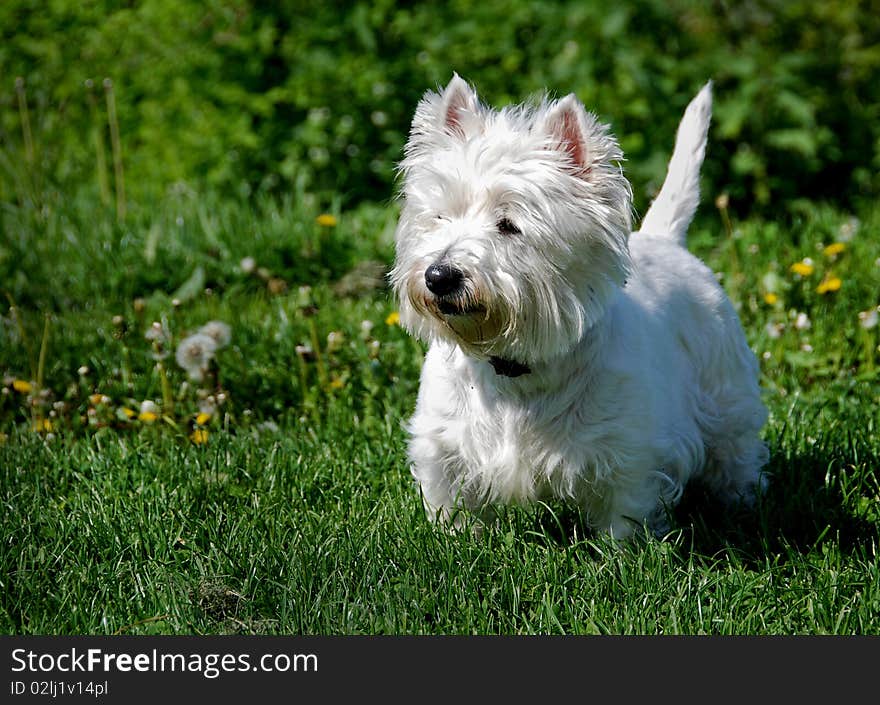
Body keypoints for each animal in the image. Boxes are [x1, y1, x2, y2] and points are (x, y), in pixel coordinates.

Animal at [388, 74, 768, 540]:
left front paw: (620, 555)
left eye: (509, 225)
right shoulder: (443, 444)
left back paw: (743, 505)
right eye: (441, 217)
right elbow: (453, 507)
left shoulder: (629, 453)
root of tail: (664, 239)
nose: (439, 276)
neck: (516, 369)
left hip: (725, 388)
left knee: (736, 450)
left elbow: (624, 516)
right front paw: (455, 542)